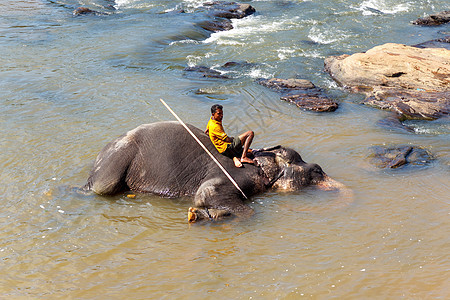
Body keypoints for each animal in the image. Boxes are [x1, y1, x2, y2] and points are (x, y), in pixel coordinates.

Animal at [83, 120, 344, 221]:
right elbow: (206, 194)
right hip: (115, 164)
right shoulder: (237, 174)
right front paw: (201, 215)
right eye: (317, 171)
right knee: (104, 188)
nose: (318, 168)